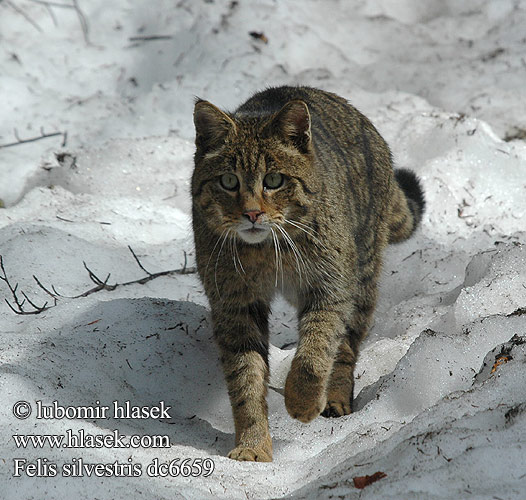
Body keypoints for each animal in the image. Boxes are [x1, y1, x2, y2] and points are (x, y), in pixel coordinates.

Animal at [192, 85, 426, 460]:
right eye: (228, 181)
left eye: (274, 180)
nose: (252, 214)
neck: (268, 254)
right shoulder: (234, 303)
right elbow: (246, 380)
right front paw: (252, 445)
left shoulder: (330, 287)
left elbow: (314, 352)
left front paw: (302, 401)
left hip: (361, 276)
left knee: (345, 349)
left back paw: (335, 398)